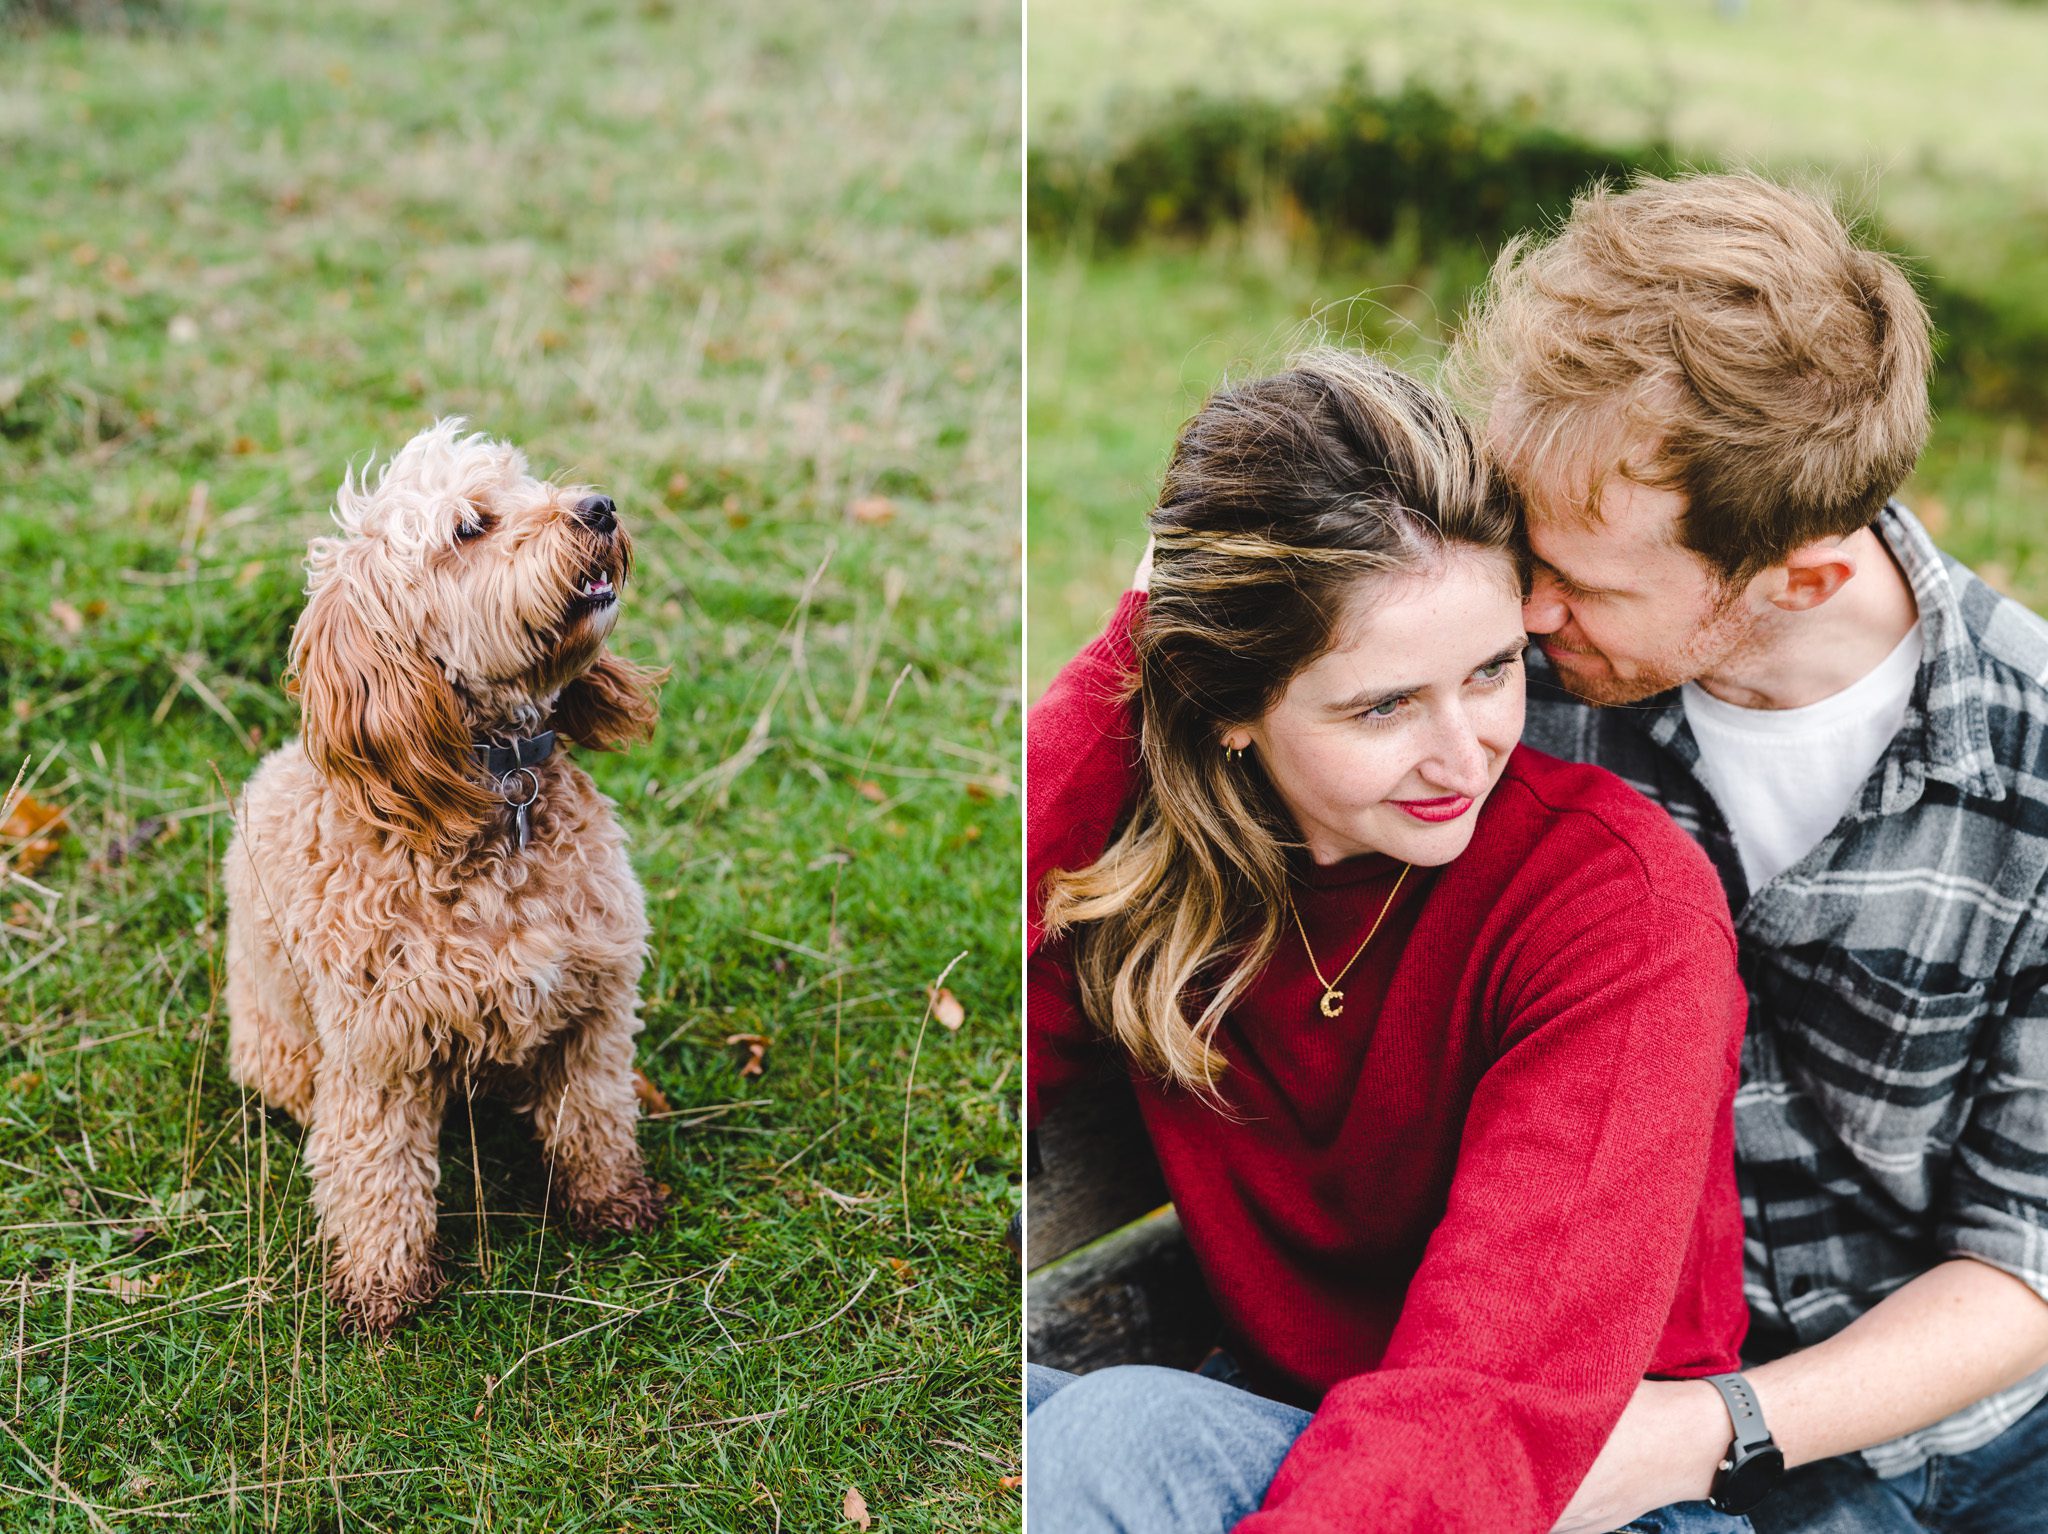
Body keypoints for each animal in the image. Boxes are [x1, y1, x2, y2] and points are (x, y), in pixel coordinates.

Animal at [227, 423, 667, 1335]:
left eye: (530, 486)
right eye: (470, 528)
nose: (599, 506)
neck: (498, 791)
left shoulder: (596, 1008)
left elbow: (596, 1117)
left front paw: (610, 1205)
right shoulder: (376, 1052)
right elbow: (377, 1173)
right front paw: (382, 1288)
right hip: (280, 1055)